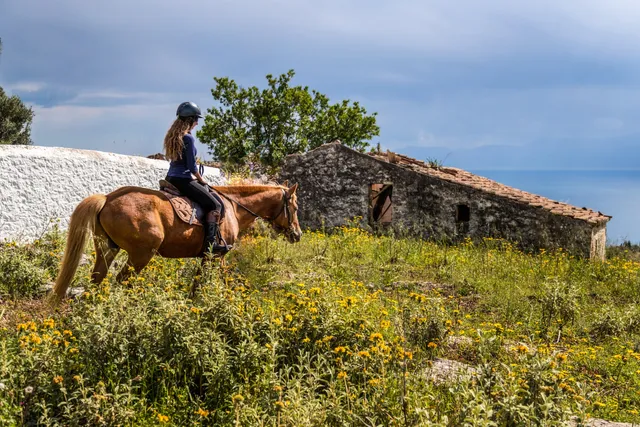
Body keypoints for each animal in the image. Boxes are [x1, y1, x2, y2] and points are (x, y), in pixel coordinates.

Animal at [49, 181, 302, 303]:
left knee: (97, 279)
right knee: (122, 281)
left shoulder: (209, 256)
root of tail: (108, 198)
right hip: (141, 254)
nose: (297, 235)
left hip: (107, 250)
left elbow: (200, 283)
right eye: (296, 207)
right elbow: (220, 280)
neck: (233, 207)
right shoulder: (217, 255)